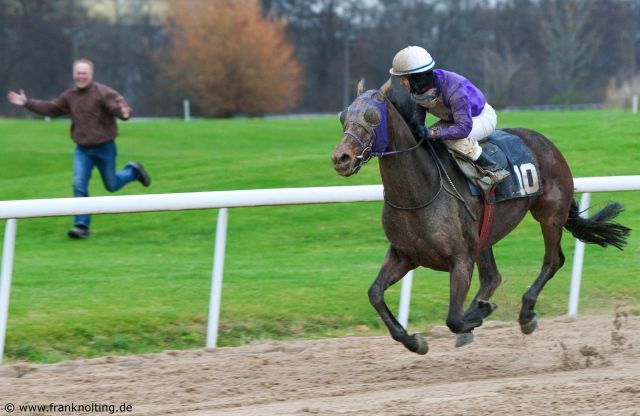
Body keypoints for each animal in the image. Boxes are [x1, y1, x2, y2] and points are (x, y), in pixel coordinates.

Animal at [332, 78, 628, 354]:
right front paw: (414, 341)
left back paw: (525, 314)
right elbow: (375, 294)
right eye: (344, 116)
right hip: (485, 234)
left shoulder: (460, 258)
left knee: (553, 260)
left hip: (550, 214)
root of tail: (545, 142)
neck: (419, 192)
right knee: (492, 277)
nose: (341, 158)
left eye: (373, 116)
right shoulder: (404, 254)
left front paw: (477, 315)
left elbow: (453, 317)